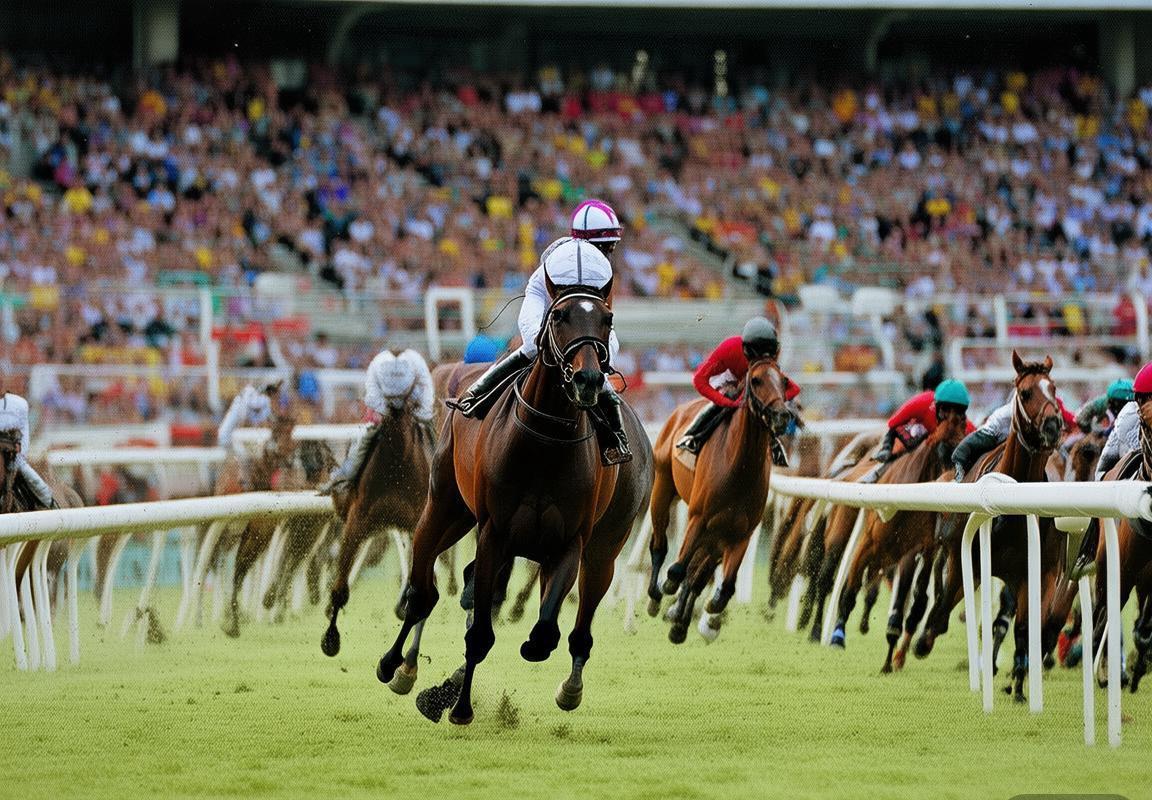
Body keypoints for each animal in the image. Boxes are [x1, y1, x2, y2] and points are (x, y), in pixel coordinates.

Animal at [375, 278, 653, 725]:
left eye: (607, 318)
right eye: (559, 316)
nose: (589, 379)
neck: (545, 441)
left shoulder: (569, 543)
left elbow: (543, 633)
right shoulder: (495, 533)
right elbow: (478, 631)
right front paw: (460, 706)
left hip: (604, 549)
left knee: (580, 626)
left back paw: (569, 686)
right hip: (446, 508)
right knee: (423, 592)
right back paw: (397, 666)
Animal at [646, 359, 792, 643]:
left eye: (784, 381)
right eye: (756, 380)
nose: (781, 416)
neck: (740, 468)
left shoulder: (739, 534)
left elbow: (721, 586)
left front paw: (700, 616)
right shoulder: (699, 518)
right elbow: (678, 570)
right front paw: (670, 594)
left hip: (716, 535)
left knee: (698, 573)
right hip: (663, 487)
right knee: (659, 545)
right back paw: (655, 597)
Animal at [824, 408, 970, 669]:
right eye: (942, 451)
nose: (950, 487)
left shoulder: (920, 547)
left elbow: (913, 599)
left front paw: (892, 654)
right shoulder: (868, 543)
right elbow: (850, 592)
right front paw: (838, 637)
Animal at [914, 352, 1066, 703]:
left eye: (1053, 388)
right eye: (1025, 392)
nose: (1053, 426)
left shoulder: (1037, 571)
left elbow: (1026, 627)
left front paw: (1020, 685)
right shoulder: (964, 561)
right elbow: (942, 611)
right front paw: (923, 641)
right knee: (943, 601)